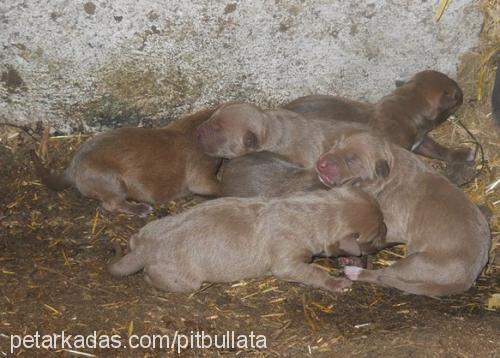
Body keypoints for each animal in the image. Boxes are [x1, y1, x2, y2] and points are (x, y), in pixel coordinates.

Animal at [108, 187, 386, 294]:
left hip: (149, 229)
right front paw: (337, 283)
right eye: (376, 235)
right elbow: (314, 272)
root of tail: (144, 248)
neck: (315, 210)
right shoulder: (287, 262)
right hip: (184, 281)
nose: (387, 235)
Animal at [284, 69, 470, 164]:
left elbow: (434, 148)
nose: (463, 93)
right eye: (457, 94)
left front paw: (460, 155)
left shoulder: (418, 141)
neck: (407, 105)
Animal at [316, 132, 492, 296]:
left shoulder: (392, 226)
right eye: (336, 144)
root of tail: (467, 280)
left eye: (351, 160)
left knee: (383, 276)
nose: (320, 163)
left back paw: (354, 272)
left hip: (416, 263)